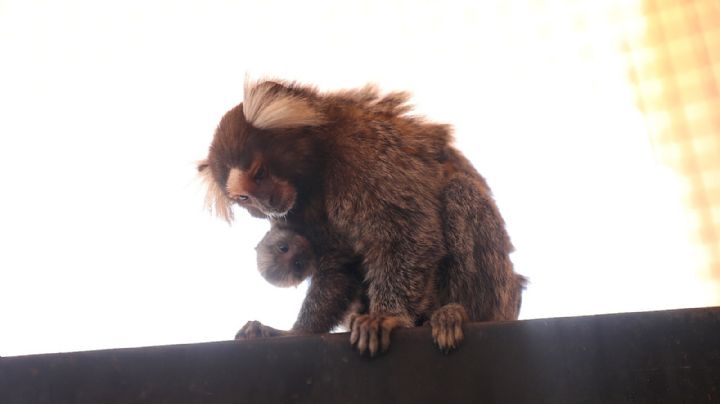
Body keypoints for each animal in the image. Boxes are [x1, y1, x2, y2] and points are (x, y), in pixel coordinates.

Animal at [199, 80, 525, 356]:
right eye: (245, 198)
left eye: (260, 173)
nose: (267, 204)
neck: (316, 171)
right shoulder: (297, 216)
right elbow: (337, 267)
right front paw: (296, 331)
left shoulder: (363, 152)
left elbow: (408, 231)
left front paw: (386, 316)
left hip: (501, 295)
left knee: (459, 192)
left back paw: (456, 313)